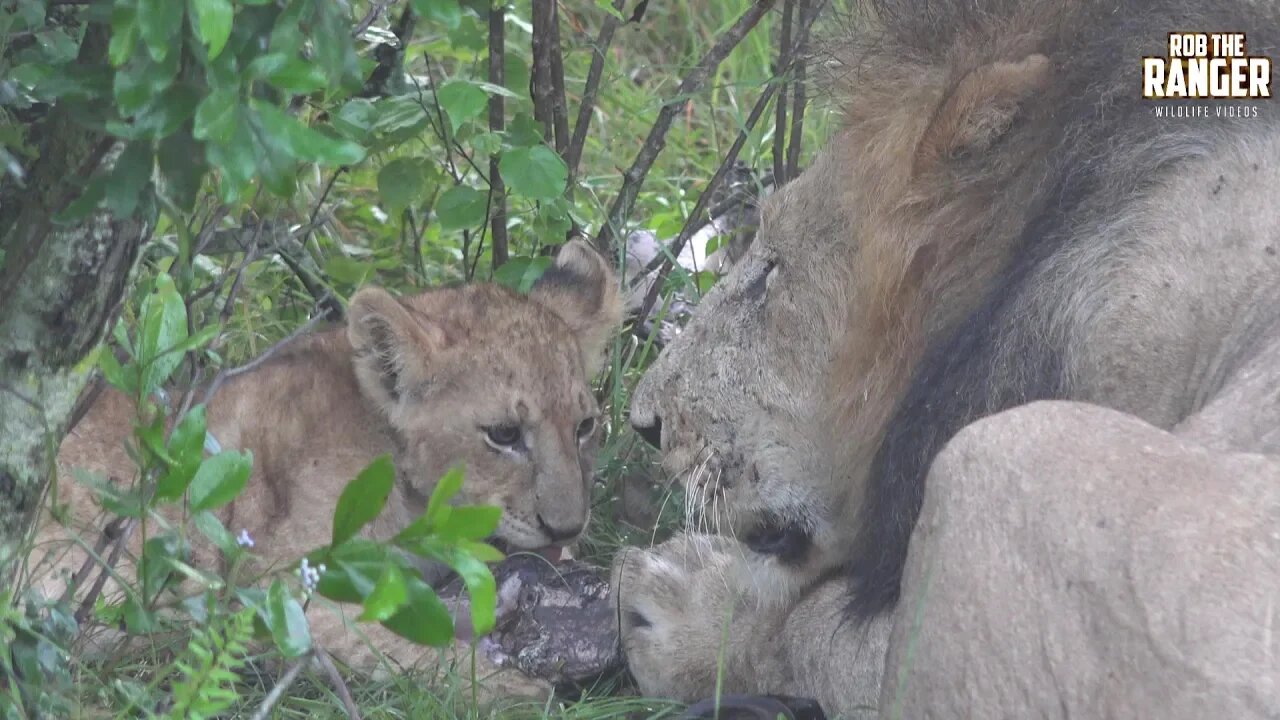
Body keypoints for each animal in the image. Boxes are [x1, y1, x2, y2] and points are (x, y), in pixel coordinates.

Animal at [32, 238, 622, 696]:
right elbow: (400, 651)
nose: (568, 527)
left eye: (584, 427)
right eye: (503, 434)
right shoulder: (269, 597)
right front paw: (518, 689)